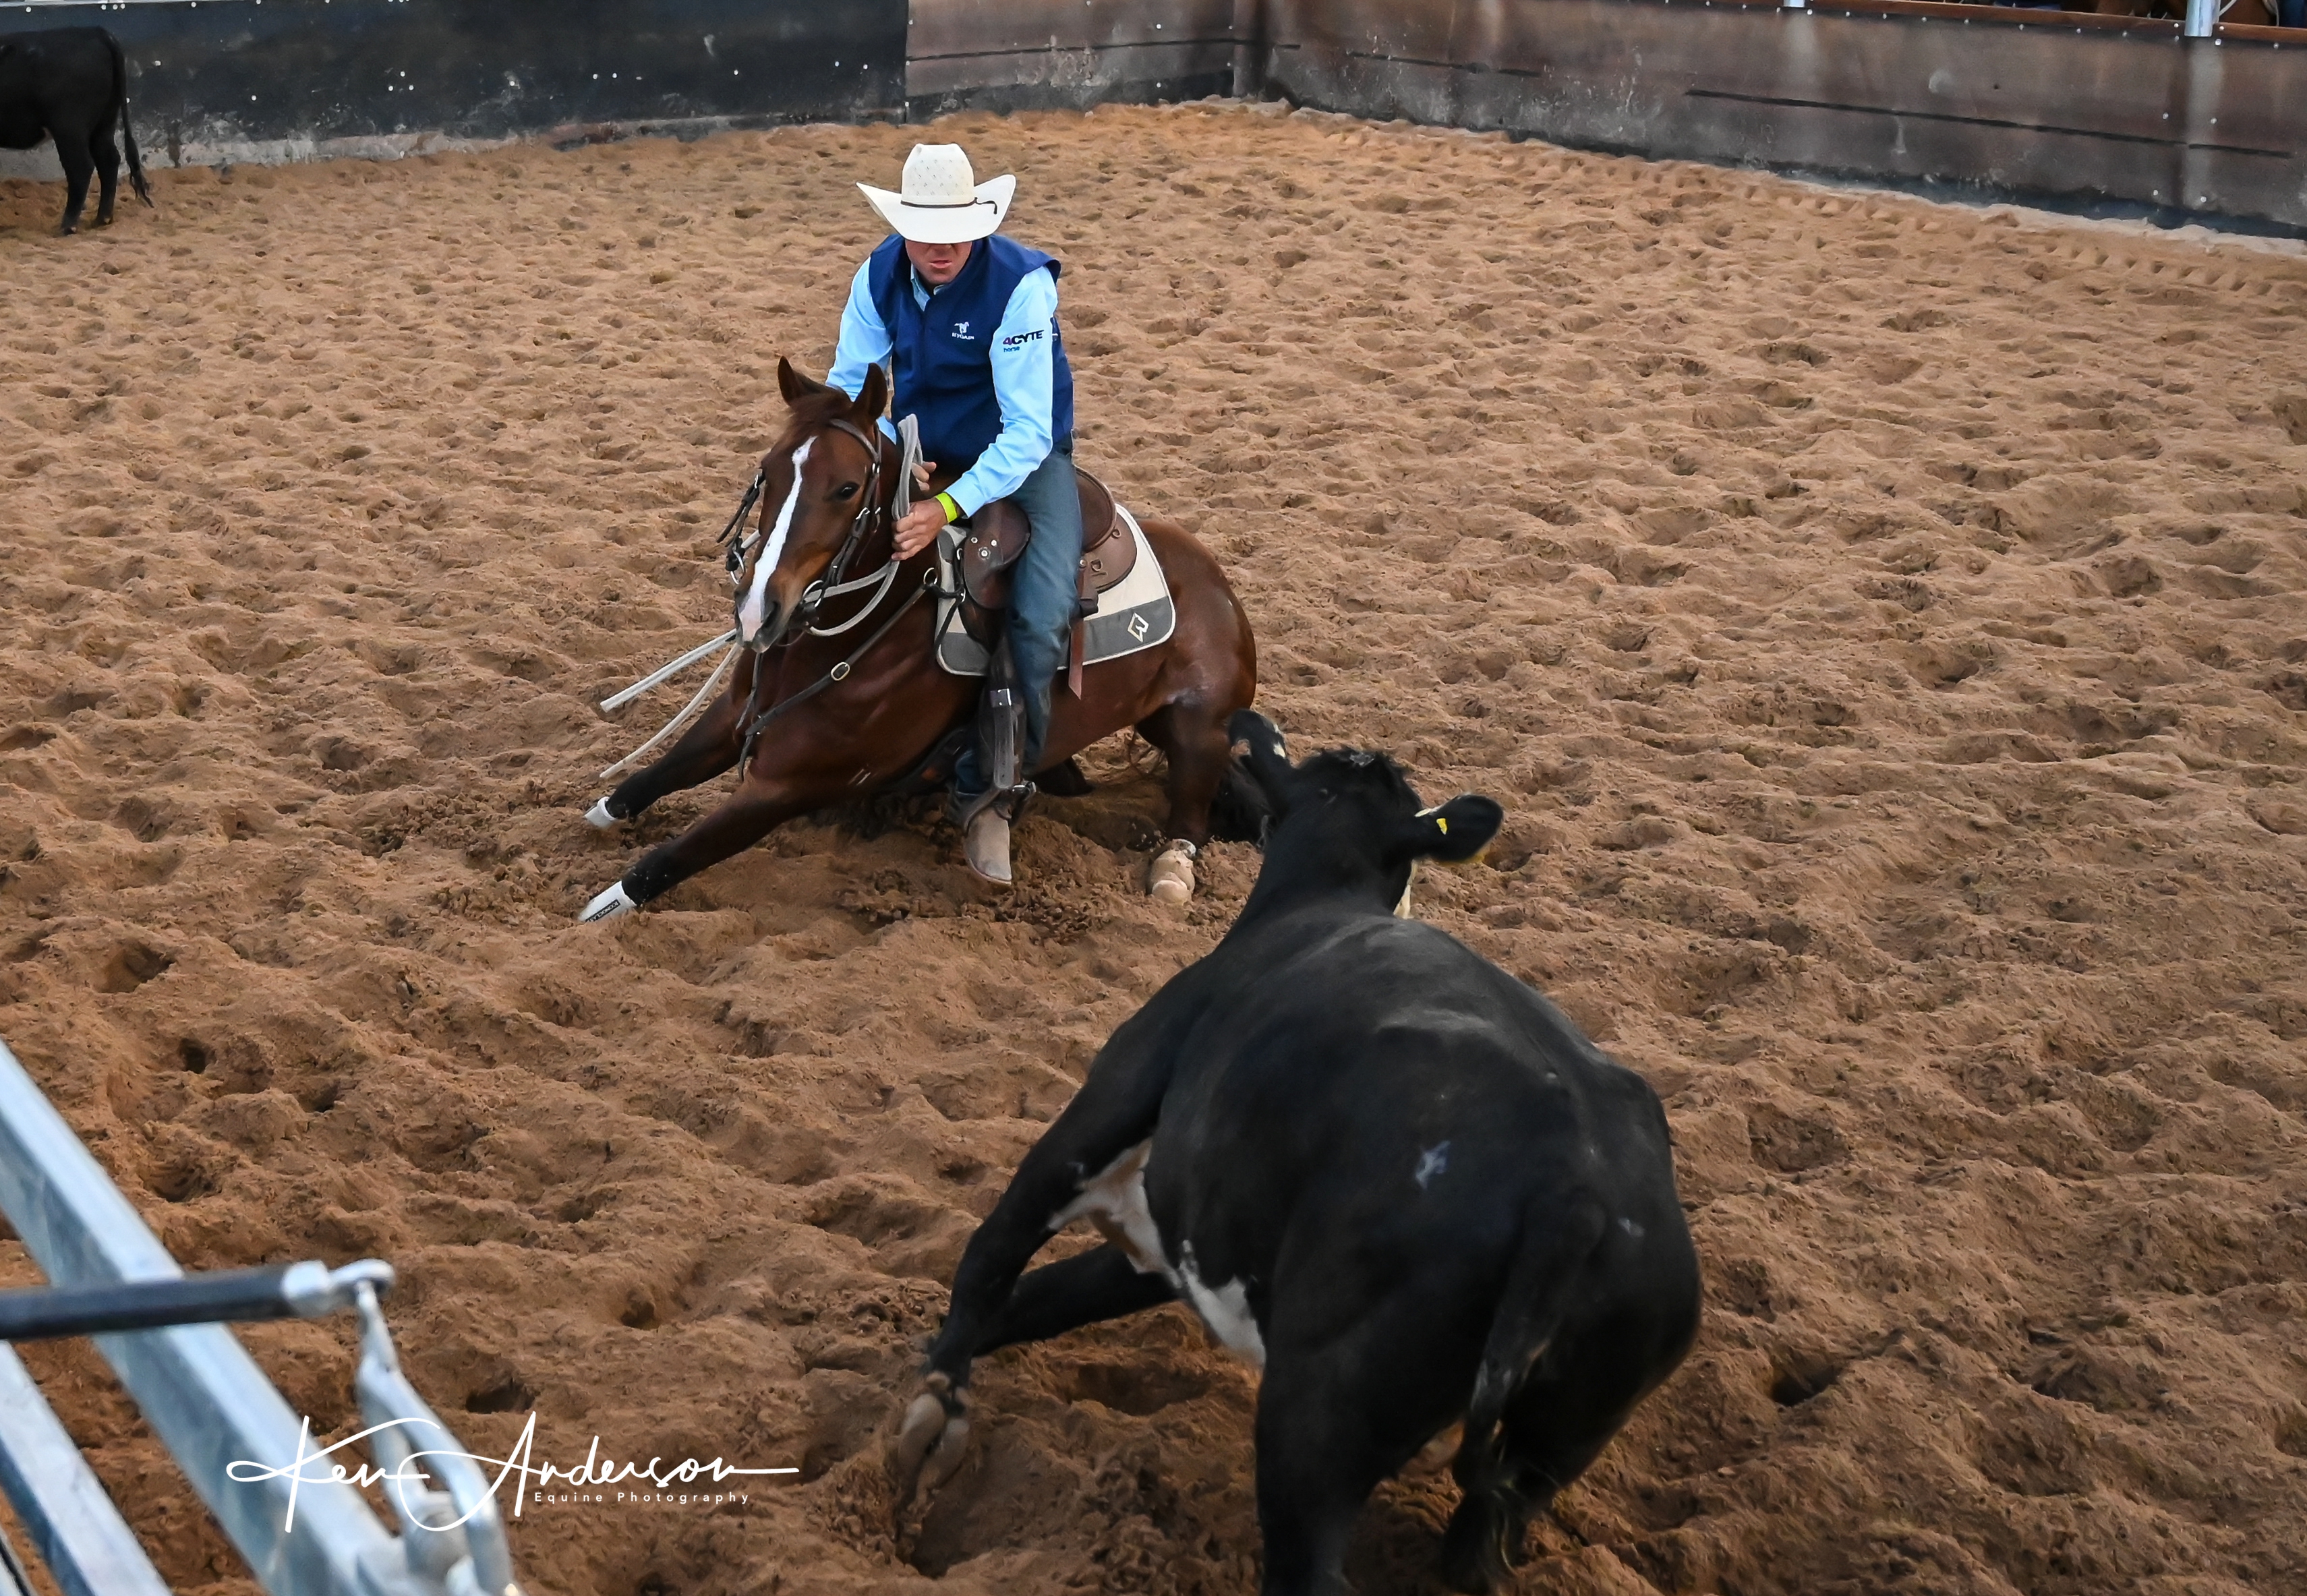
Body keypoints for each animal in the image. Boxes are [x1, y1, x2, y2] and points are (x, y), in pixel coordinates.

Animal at [0, 27, 152, 236]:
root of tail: (95, 32)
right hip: (104, 122)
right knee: (109, 160)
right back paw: (102, 218)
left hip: (70, 127)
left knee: (81, 167)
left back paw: (68, 225)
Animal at [575, 359, 1260, 918]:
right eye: (767, 472)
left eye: (847, 487)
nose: (757, 609)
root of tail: (1211, 575)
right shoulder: (732, 716)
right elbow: (641, 784)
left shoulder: (785, 786)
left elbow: (657, 867)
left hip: (1196, 722)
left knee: (1192, 810)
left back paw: (1170, 868)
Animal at [890, 710, 1702, 1596]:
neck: (1321, 898)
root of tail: (1573, 1198)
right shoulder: (1181, 1242)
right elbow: (1032, 1300)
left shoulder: (1099, 1118)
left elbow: (990, 1257)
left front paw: (932, 1414)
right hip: (1553, 1443)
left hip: (1315, 1420)